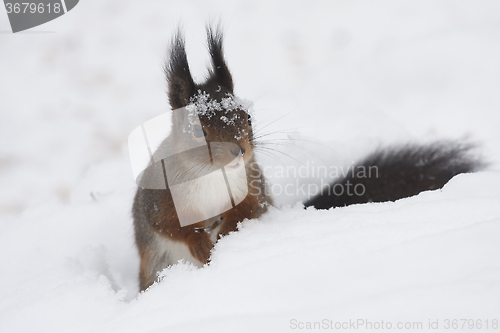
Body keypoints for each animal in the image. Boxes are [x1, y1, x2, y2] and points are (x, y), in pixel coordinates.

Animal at [132, 27, 480, 290]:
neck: (214, 174)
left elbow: (248, 211)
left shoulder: (253, 185)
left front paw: (227, 232)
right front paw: (200, 242)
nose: (238, 151)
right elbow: (164, 224)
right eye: (196, 130)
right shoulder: (159, 195)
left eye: (247, 117)